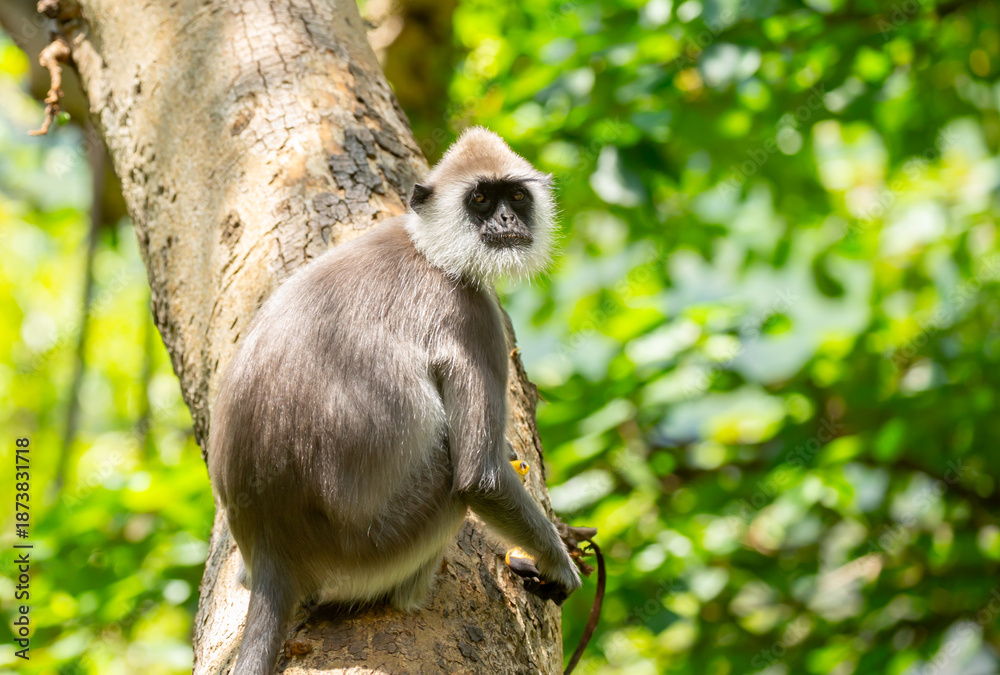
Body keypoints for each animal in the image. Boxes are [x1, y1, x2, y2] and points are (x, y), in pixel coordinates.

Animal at [208, 127, 582, 675]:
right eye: (480, 200)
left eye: (515, 197)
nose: (507, 222)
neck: (428, 250)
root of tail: (276, 547)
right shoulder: (472, 313)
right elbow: (481, 477)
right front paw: (560, 566)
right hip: (378, 545)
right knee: (452, 479)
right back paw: (410, 593)